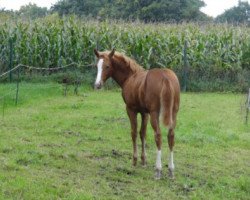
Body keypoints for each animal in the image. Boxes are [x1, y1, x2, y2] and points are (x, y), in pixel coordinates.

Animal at [94, 48, 180, 180]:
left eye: (107, 66)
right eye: (97, 66)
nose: (97, 85)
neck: (130, 77)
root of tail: (165, 77)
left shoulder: (131, 110)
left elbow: (134, 133)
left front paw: (134, 160)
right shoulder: (145, 113)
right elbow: (142, 133)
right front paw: (143, 160)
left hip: (155, 113)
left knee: (158, 136)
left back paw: (158, 170)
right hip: (173, 113)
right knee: (171, 136)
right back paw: (171, 170)